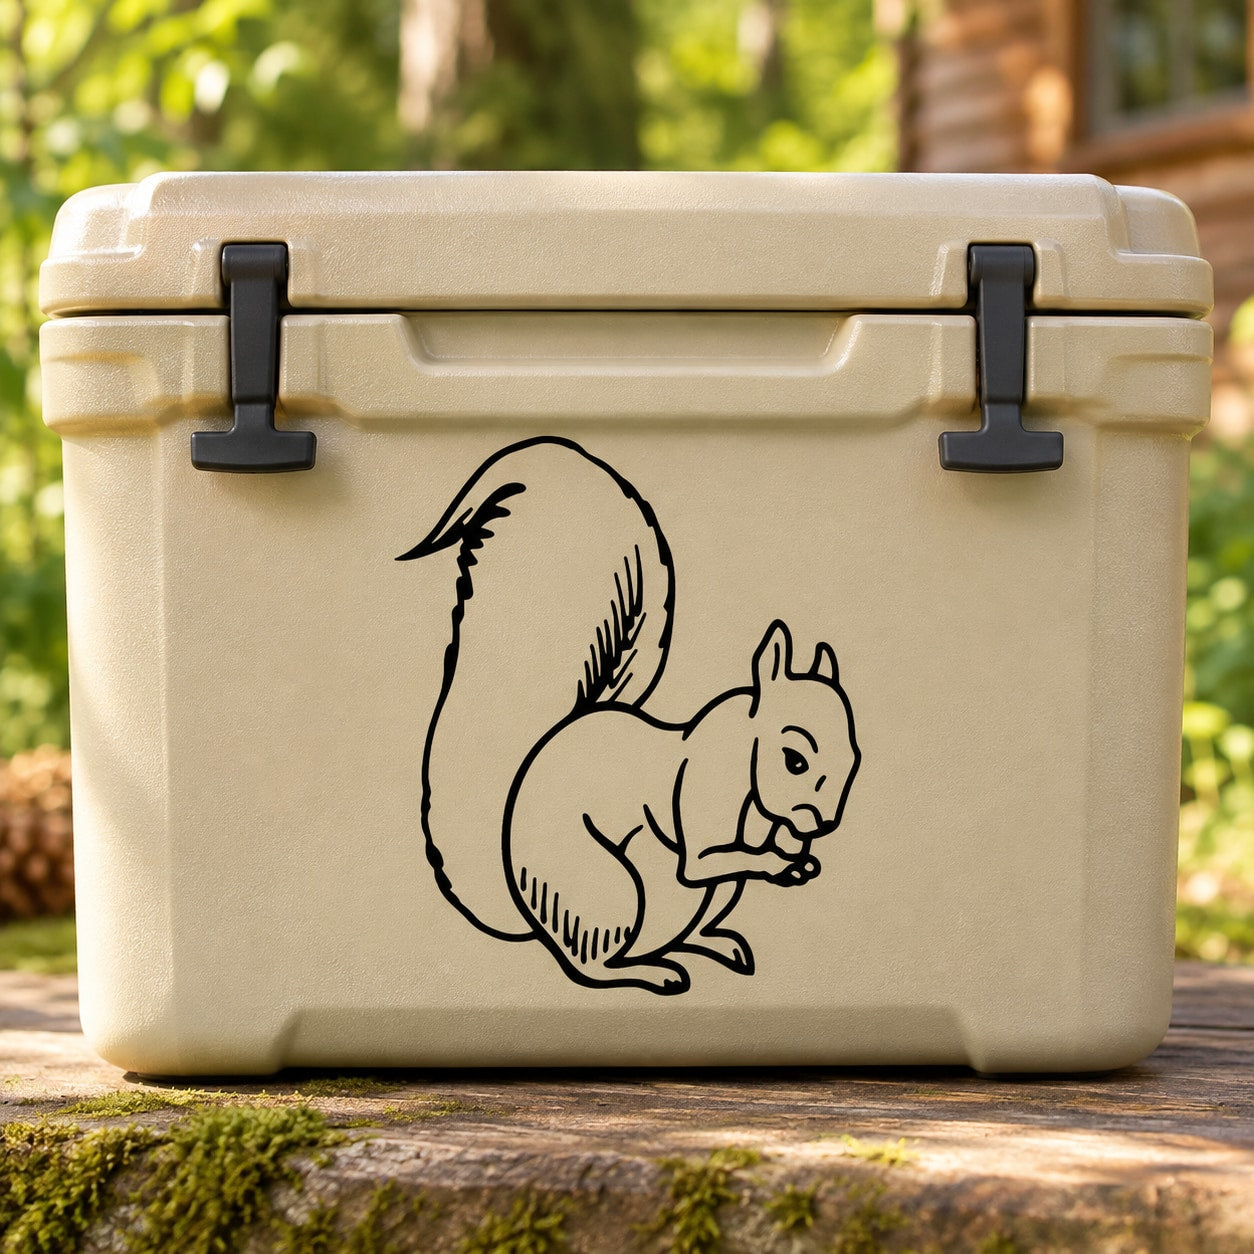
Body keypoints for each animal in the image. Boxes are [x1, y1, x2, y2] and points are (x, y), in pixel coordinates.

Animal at [399, 437, 860, 995]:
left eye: (855, 759)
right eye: (794, 759)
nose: (826, 821)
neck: (747, 755)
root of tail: (530, 915)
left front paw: (795, 851)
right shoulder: (703, 789)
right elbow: (703, 858)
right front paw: (780, 860)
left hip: (714, 896)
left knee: (683, 929)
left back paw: (708, 944)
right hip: (611, 893)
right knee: (591, 963)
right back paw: (650, 971)